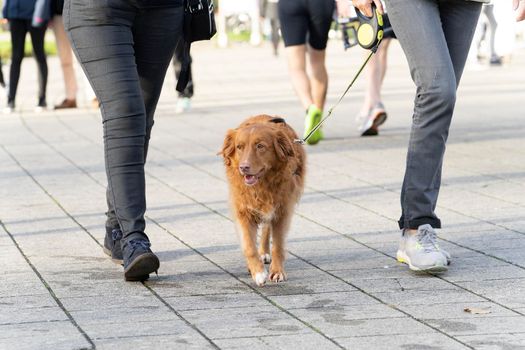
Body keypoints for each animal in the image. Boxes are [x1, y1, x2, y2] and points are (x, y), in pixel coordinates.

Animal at [219, 115, 304, 288]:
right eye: (239, 147)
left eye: (260, 146)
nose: (243, 167)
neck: (261, 186)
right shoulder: (243, 212)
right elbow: (249, 246)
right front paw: (257, 272)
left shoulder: (282, 211)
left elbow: (278, 245)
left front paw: (277, 272)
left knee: (266, 228)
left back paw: (264, 252)